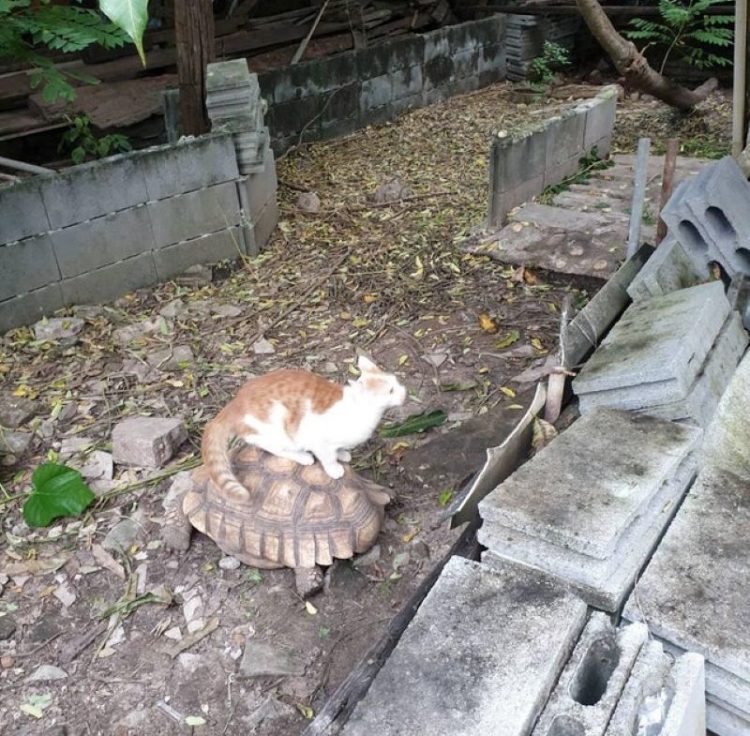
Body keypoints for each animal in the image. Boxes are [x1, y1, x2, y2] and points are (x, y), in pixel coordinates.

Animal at [203, 356, 408, 494]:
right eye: (391, 391)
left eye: (397, 383)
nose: (405, 393)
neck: (360, 411)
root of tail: (235, 402)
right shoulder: (318, 439)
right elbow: (327, 457)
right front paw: (334, 467)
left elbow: (338, 449)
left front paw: (342, 453)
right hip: (274, 430)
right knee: (275, 448)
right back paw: (302, 456)